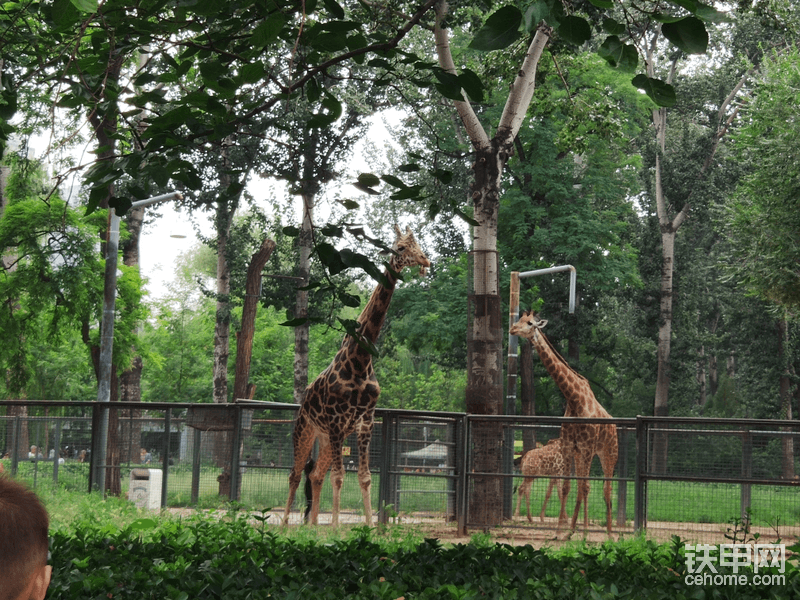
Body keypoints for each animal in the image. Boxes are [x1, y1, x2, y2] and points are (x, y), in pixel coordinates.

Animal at [282, 225, 432, 524]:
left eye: (419, 245)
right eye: (400, 247)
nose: (425, 261)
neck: (361, 361)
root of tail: (302, 402)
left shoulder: (364, 422)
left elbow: (364, 477)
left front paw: (369, 527)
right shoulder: (337, 423)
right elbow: (340, 477)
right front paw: (337, 528)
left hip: (326, 439)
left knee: (315, 475)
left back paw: (312, 527)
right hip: (306, 431)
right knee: (295, 475)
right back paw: (284, 526)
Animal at [510, 310, 616, 536]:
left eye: (530, 323)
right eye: (519, 320)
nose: (512, 329)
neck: (574, 399)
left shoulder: (586, 447)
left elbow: (583, 487)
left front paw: (579, 530)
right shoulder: (570, 447)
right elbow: (568, 488)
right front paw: (562, 530)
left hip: (608, 452)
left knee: (606, 488)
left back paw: (610, 533)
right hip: (584, 454)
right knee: (585, 487)